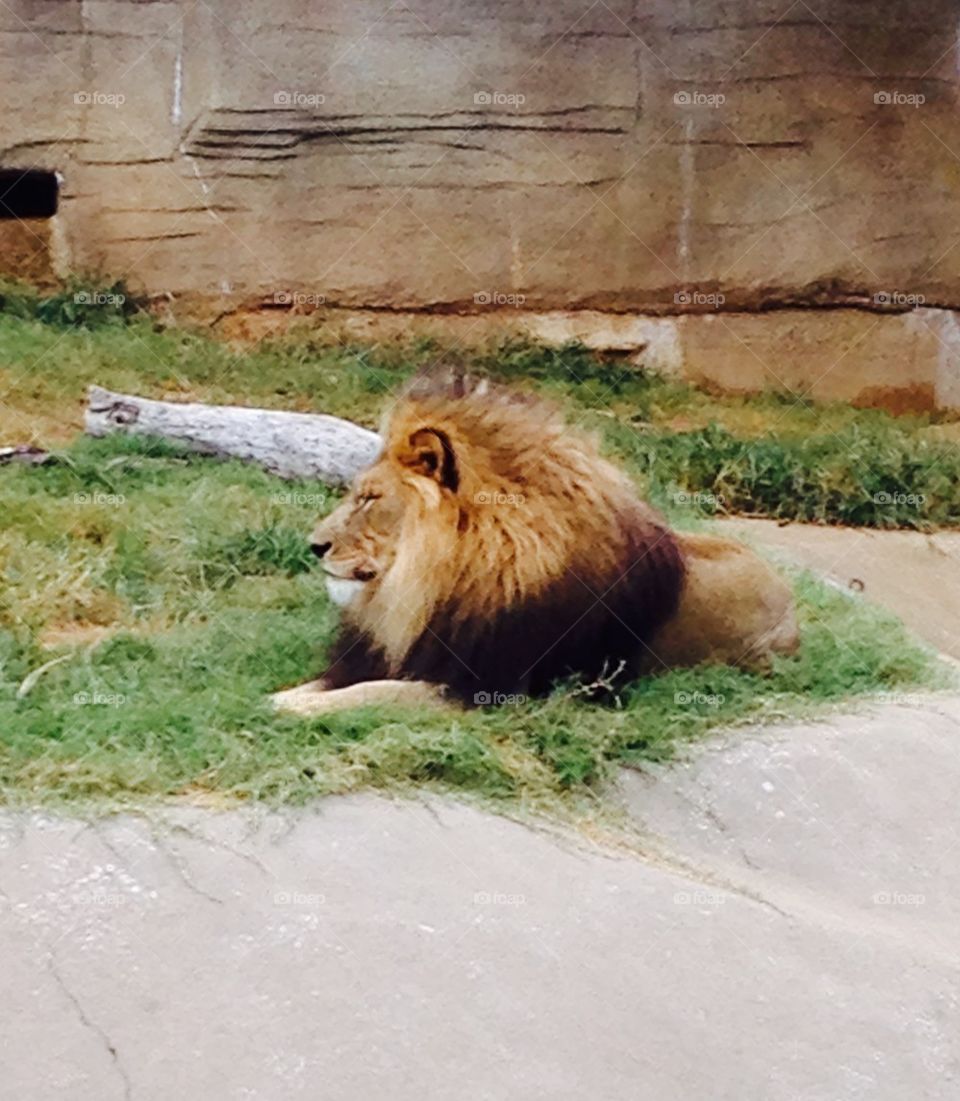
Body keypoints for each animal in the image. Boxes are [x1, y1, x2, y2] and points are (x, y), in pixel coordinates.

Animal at [272, 375, 799, 717]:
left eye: (369, 498)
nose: (314, 546)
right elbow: (326, 684)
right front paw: (280, 696)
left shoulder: (484, 689)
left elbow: (368, 695)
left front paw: (275, 709)